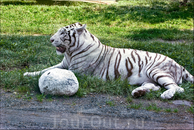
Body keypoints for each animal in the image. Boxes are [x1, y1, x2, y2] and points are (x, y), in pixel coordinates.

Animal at [23, 22, 193, 99]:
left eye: (63, 33)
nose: (51, 40)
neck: (70, 53)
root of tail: (180, 65)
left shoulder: (77, 71)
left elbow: (54, 72)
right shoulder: (63, 63)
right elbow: (46, 69)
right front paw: (27, 74)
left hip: (156, 70)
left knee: (177, 88)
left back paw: (167, 95)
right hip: (149, 78)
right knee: (155, 86)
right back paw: (138, 92)